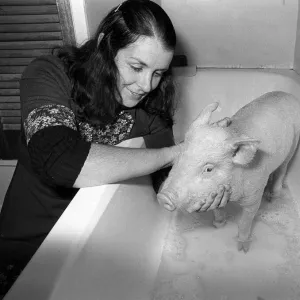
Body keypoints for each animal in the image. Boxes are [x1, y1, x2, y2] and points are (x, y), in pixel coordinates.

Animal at [157, 90, 300, 252]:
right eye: (180, 155)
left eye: (208, 168)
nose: (163, 197)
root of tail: (288, 94)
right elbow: (217, 210)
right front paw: (217, 226)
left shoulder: (254, 194)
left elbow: (246, 220)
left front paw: (243, 248)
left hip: (294, 141)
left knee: (283, 167)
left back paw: (273, 197)